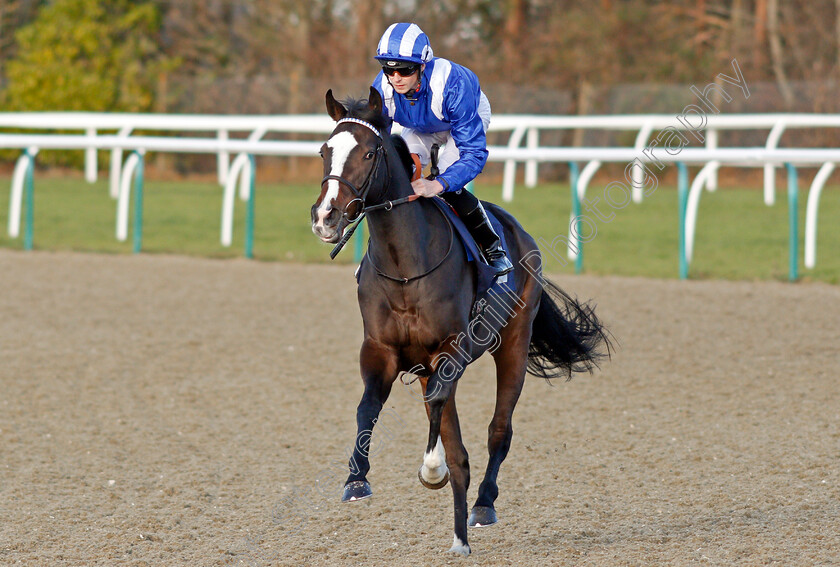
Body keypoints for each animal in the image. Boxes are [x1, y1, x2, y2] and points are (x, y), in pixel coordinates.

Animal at [310, 86, 612, 556]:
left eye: (369, 152)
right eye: (325, 151)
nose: (326, 217)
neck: (404, 267)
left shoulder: (450, 352)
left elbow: (444, 420)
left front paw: (433, 470)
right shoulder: (380, 350)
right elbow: (368, 407)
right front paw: (356, 479)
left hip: (513, 344)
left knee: (499, 431)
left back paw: (482, 507)